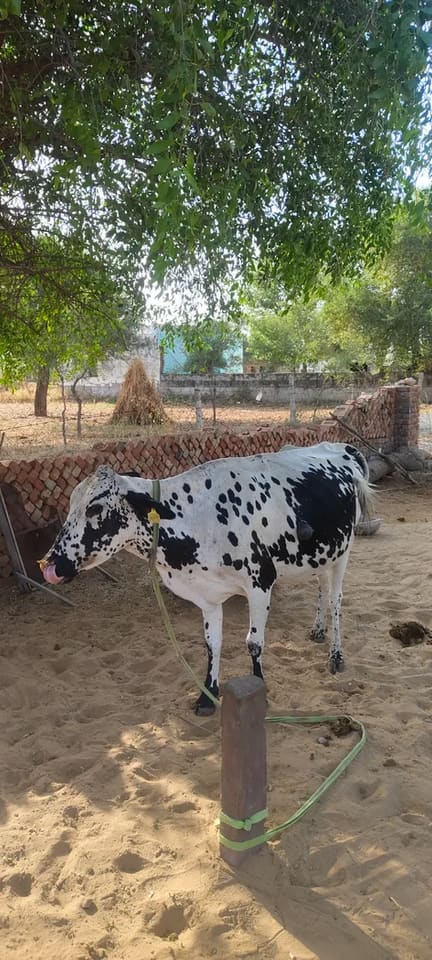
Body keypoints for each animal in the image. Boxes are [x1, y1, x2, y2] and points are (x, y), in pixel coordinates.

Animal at [39, 441, 373, 715]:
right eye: (71, 504)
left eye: (94, 508)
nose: (51, 564)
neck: (199, 517)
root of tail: (341, 447)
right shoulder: (207, 596)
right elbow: (212, 644)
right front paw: (207, 695)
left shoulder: (260, 584)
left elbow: (254, 643)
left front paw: (260, 689)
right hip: (323, 554)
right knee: (321, 588)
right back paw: (317, 630)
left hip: (344, 552)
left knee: (336, 600)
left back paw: (336, 654)